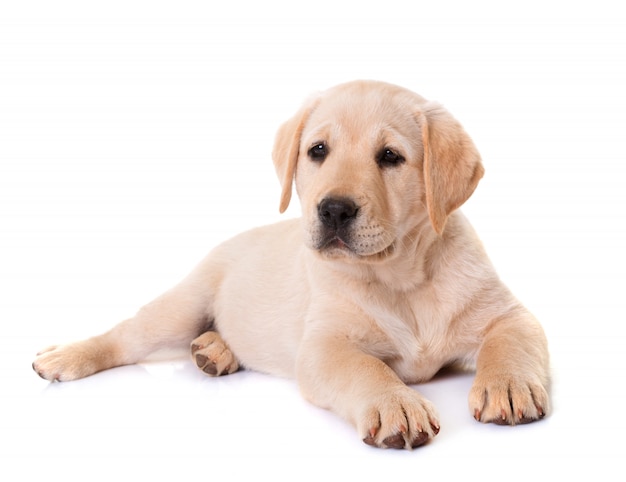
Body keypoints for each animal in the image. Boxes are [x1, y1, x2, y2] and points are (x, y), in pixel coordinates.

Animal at [31, 81, 548, 450]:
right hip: (183, 303)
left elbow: (511, 343)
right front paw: (395, 403)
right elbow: (366, 368)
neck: (401, 277)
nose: (334, 209)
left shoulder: (511, 315)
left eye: (390, 157)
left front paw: (507, 385)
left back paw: (215, 350)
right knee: (124, 335)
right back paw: (66, 357)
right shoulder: (323, 346)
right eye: (318, 150)